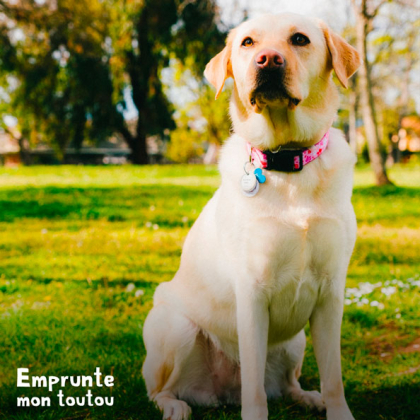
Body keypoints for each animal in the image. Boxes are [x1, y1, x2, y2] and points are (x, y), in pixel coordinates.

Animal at [143, 11, 360, 418]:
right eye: (248, 43)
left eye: (300, 39)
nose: (268, 60)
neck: (288, 162)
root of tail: (222, 392)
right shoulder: (253, 291)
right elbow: (255, 389)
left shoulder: (330, 293)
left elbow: (333, 377)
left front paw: (337, 409)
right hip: (174, 326)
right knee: (160, 390)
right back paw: (174, 406)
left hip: (296, 342)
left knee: (287, 383)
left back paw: (308, 397)